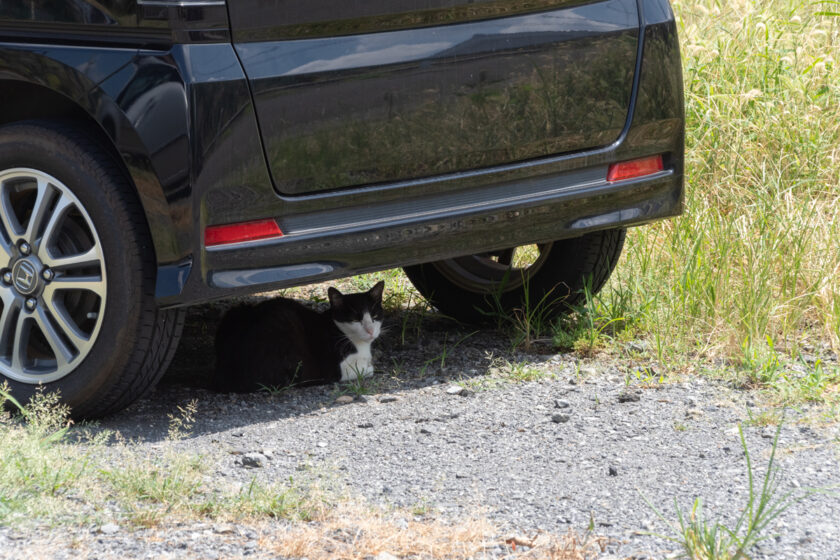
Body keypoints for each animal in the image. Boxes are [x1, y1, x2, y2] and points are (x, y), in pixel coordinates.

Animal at [217, 282, 388, 392]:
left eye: (374, 316)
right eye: (354, 319)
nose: (370, 331)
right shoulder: (336, 368)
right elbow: (367, 369)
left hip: (235, 312)